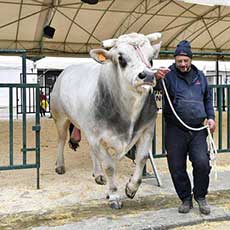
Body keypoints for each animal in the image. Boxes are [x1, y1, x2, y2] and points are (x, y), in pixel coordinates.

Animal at [50, 31, 162, 209]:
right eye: (121, 58)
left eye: (151, 59)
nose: (147, 75)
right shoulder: (97, 137)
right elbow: (109, 166)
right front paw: (114, 195)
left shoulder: (147, 130)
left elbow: (141, 158)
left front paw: (131, 188)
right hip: (60, 116)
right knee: (61, 140)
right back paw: (60, 165)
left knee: (91, 151)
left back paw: (98, 174)